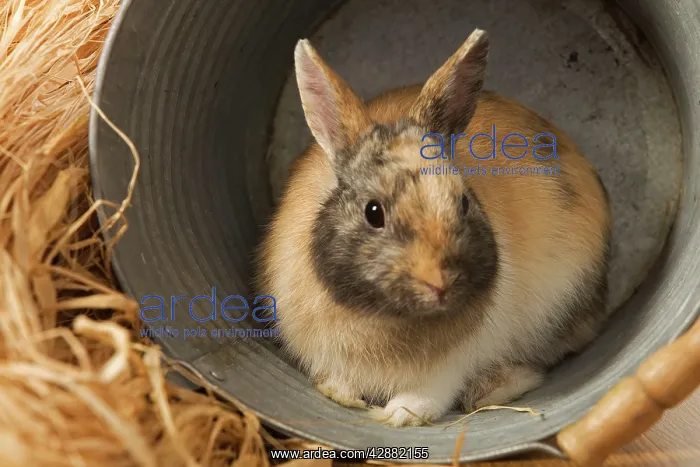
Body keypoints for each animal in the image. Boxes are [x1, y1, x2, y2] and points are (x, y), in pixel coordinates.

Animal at [255, 28, 612, 427]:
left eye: (464, 202)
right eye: (373, 212)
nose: (439, 283)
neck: (386, 317)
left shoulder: (448, 370)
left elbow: (430, 394)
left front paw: (400, 415)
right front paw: (341, 393)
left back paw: (490, 390)